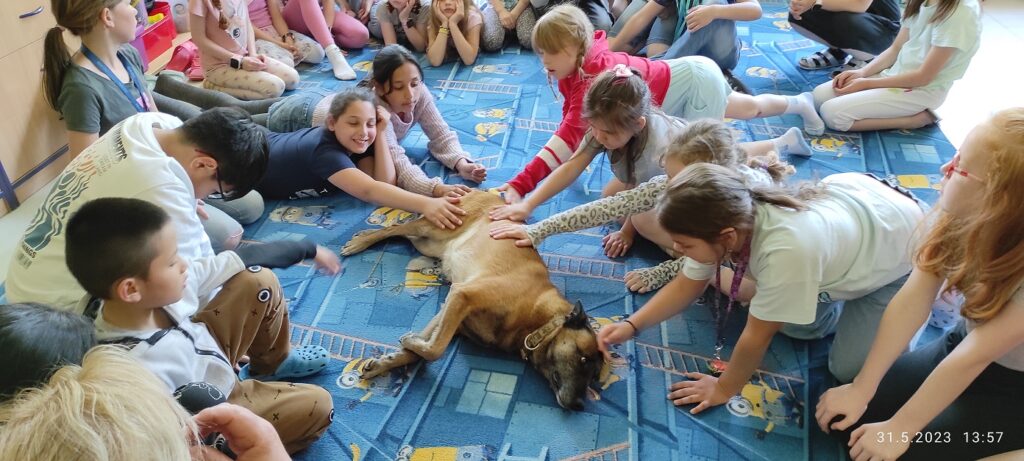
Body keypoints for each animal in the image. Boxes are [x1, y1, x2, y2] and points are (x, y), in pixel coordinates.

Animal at [339, 190, 602, 409]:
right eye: (583, 358)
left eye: (594, 376)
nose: (579, 406)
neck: (538, 320)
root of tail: (488, 192)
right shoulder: (463, 296)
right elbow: (435, 349)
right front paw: (407, 346)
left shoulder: (451, 310)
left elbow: (423, 346)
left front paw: (390, 359)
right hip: (435, 228)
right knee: (395, 228)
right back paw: (361, 241)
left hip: (428, 244)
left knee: (404, 232)